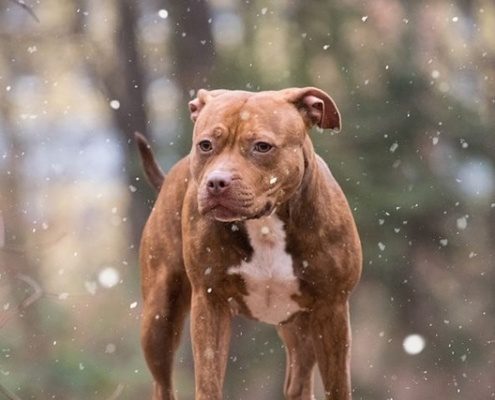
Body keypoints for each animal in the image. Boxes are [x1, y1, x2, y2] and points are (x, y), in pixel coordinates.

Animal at [138, 87, 362, 400]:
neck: (264, 224)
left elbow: (338, 386)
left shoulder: (332, 309)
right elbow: (208, 381)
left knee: (299, 380)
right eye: (205, 145)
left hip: (301, 326)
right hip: (159, 316)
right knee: (162, 383)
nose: (216, 182)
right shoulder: (210, 302)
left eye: (262, 146)